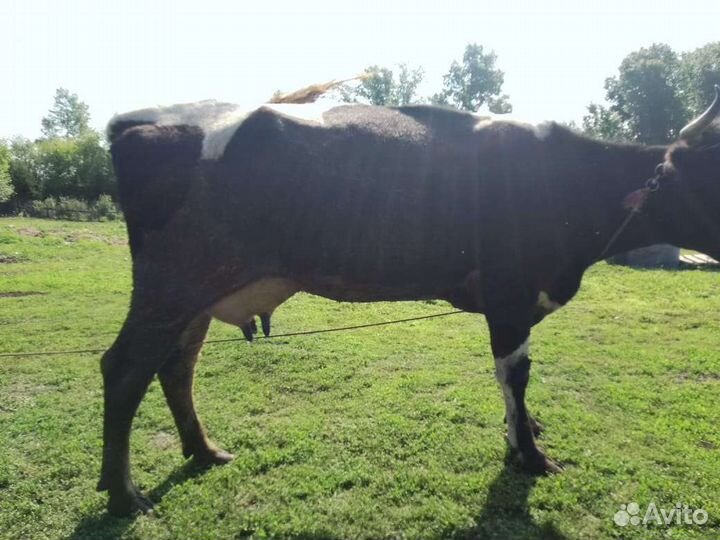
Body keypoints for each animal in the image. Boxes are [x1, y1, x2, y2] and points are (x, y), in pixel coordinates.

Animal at [99, 85, 720, 516]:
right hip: (173, 279)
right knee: (125, 367)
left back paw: (203, 451)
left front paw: (527, 431)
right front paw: (528, 454)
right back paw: (125, 493)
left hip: (198, 293)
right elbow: (516, 375)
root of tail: (134, 120)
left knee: (176, 367)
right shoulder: (510, 294)